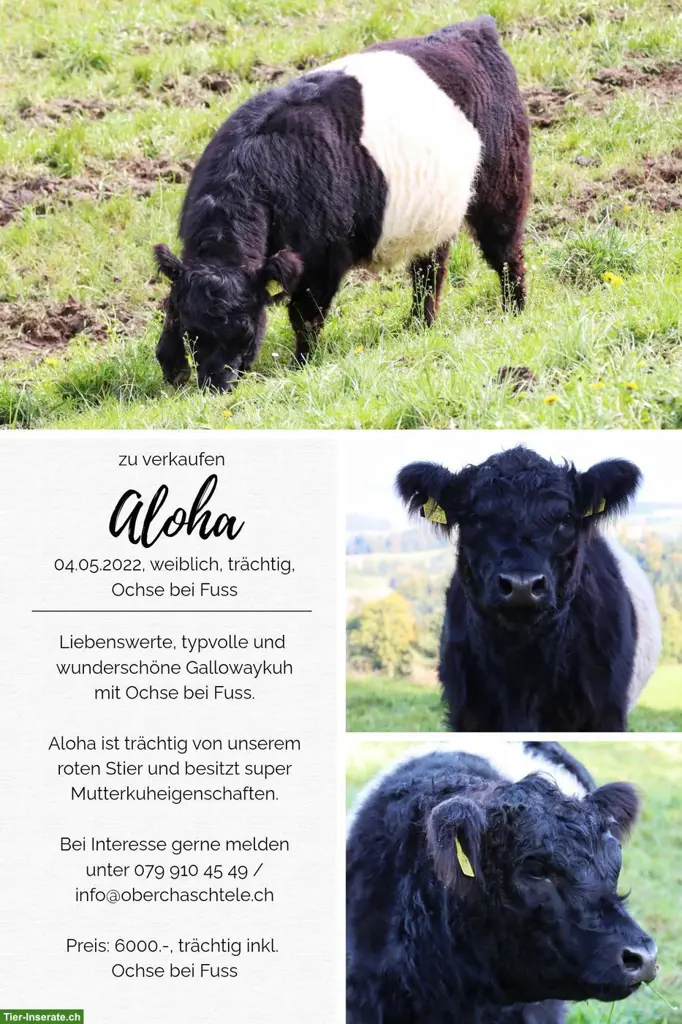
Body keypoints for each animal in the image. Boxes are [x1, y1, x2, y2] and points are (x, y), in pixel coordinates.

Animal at [154, 16, 531, 389]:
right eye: (193, 332)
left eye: (246, 331)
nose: (218, 384)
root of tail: (475, 28)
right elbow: (169, 314)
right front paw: (173, 370)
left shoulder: (323, 261)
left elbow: (305, 317)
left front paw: (301, 364)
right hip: (432, 214)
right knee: (429, 272)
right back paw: (419, 326)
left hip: (502, 190)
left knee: (506, 255)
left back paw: (515, 311)